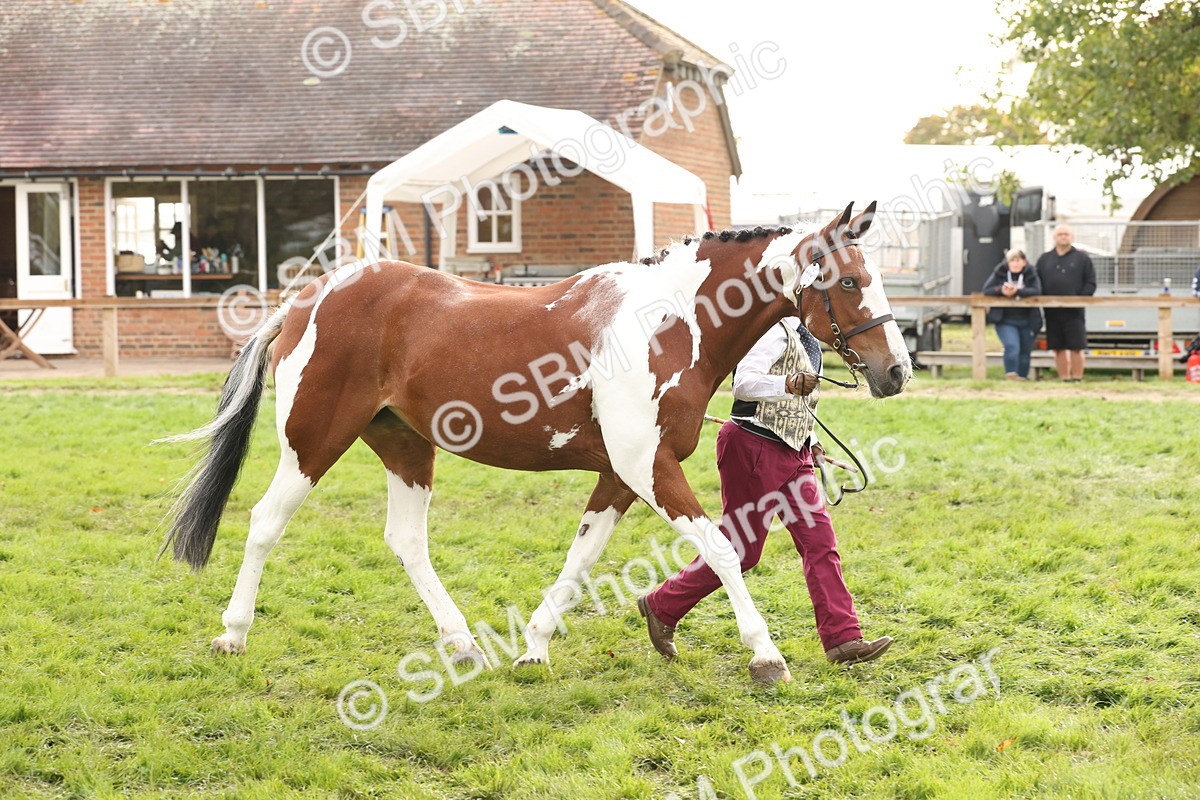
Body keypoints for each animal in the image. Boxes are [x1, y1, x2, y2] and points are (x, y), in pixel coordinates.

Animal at [161, 201, 911, 685]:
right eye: (848, 280)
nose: (896, 371)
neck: (669, 322)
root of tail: (307, 296)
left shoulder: (622, 473)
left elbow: (582, 559)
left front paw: (534, 649)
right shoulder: (647, 466)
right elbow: (724, 550)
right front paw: (766, 656)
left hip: (405, 447)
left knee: (406, 540)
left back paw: (465, 646)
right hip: (313, 441)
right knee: (265, 522)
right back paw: (232, 634)